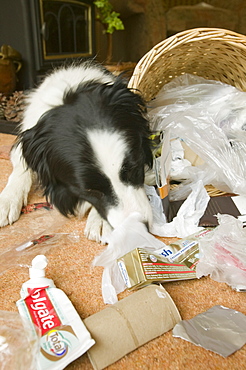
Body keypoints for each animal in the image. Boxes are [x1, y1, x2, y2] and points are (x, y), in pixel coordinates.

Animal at [0, 60, 154, 241]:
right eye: (90, 190)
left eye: (135, 169)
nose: (139, 230)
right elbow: (21, 168)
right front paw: (7, 199)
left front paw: (99, 221)